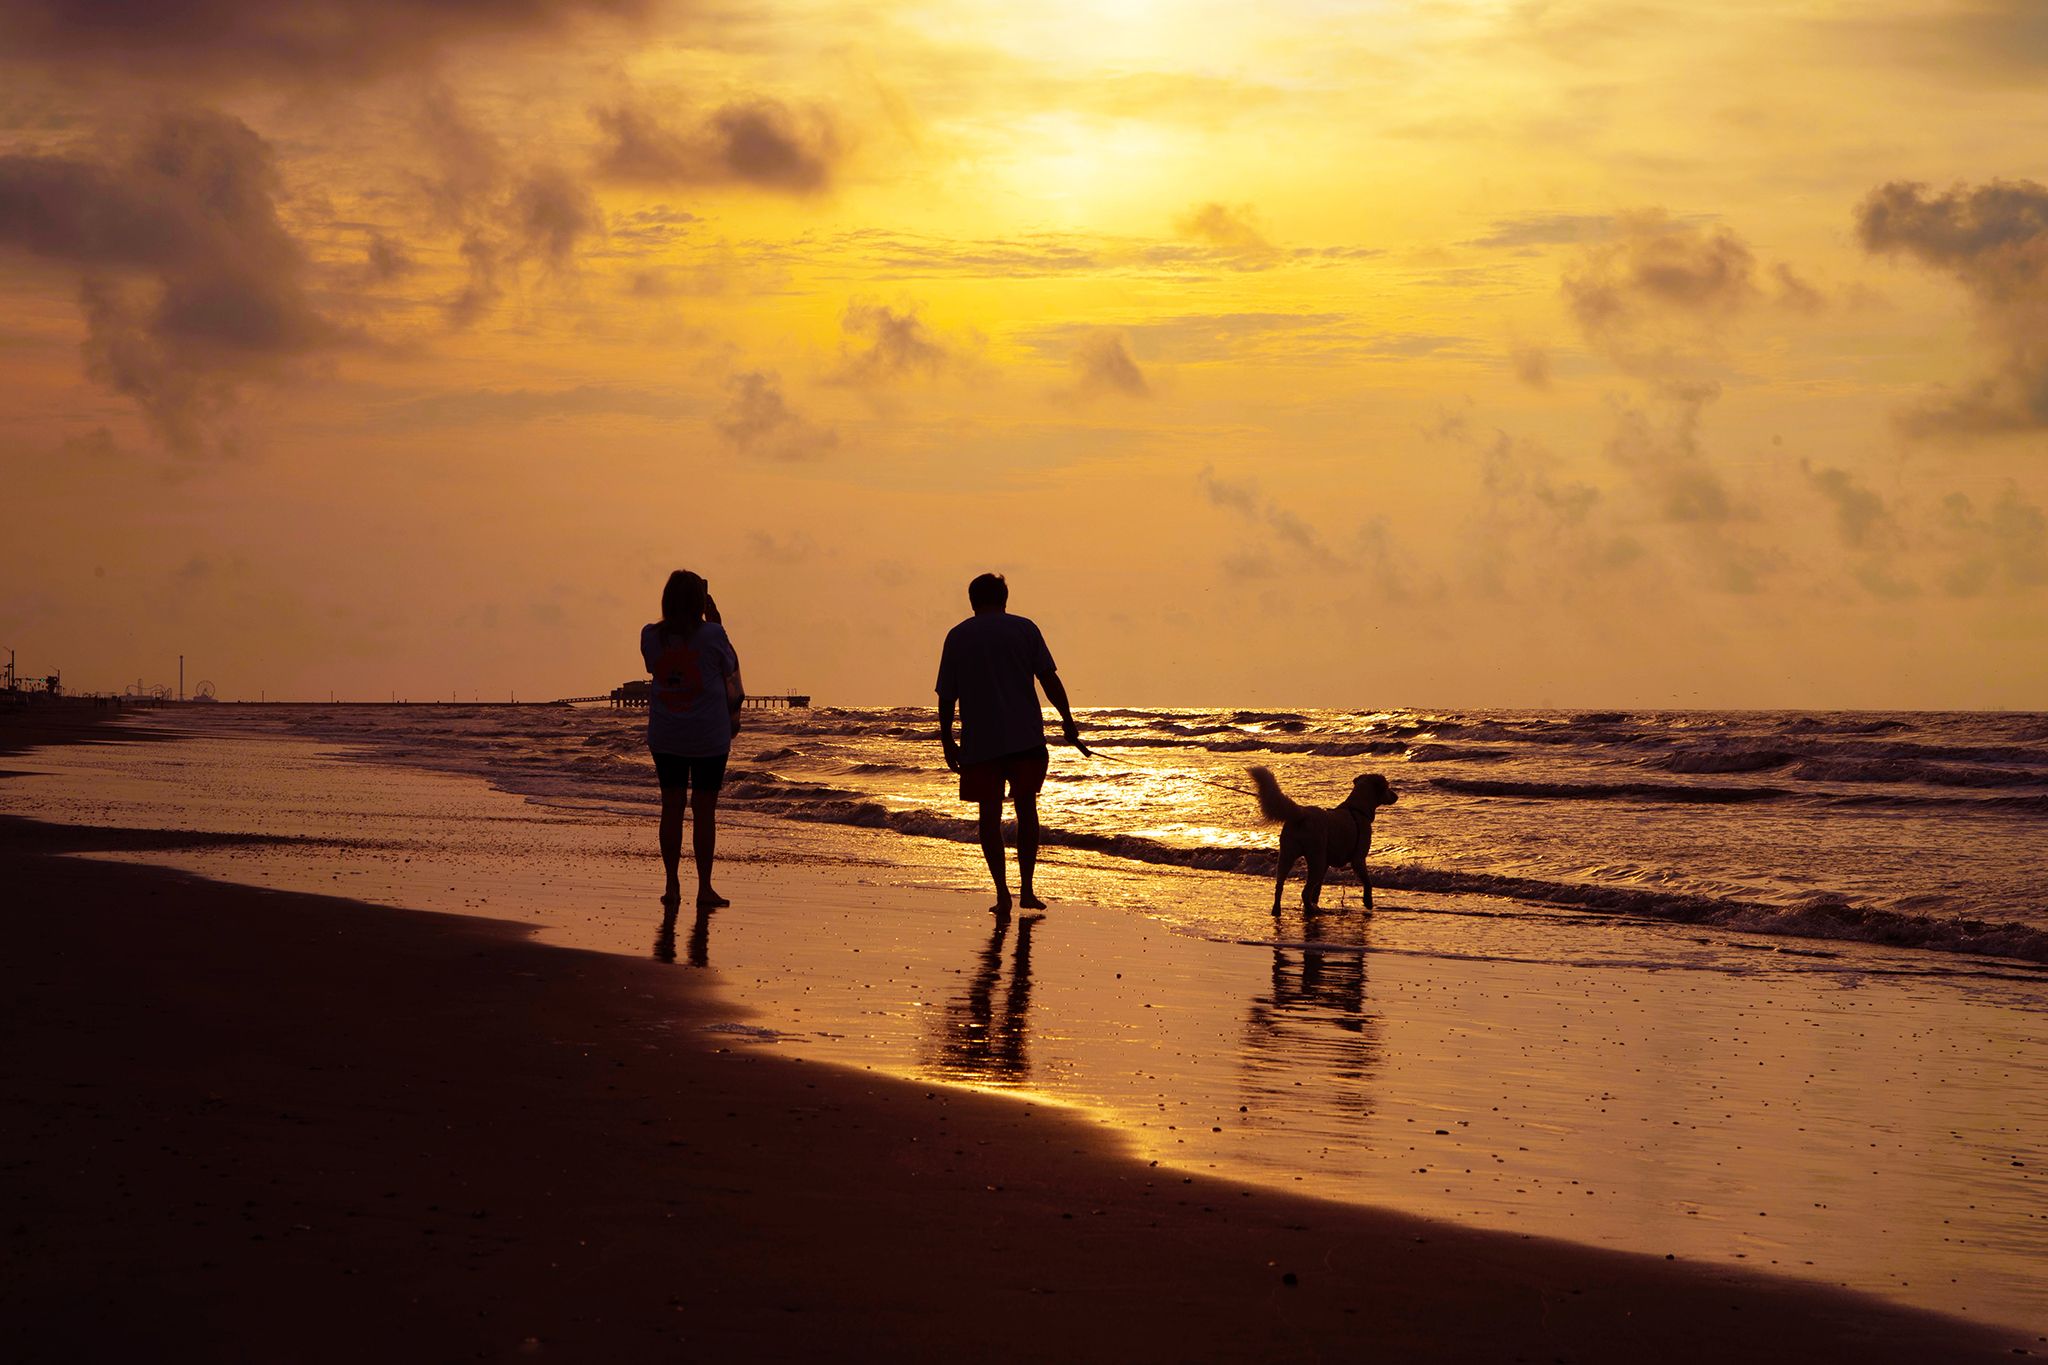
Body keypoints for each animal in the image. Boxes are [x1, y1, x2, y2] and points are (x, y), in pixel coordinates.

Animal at [1236, 773, 1400, 912]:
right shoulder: (1358, 859)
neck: (1357, 809)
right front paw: (1368, 902)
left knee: (1280, 887)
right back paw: (1311, 910)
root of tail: (1302, 814)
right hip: (1316, 860)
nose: (1396, 796)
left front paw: (1316, 901)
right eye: (1387, 786)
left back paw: (1279, 910)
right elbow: (1367, 882)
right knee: (1304, 891)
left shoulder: (1327, 864)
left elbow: (1317, 890)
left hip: (1287, 856)